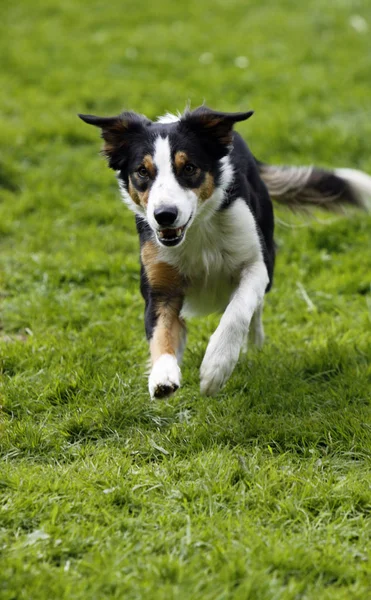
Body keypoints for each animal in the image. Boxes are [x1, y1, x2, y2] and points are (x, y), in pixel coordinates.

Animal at [79, 108, 371, 398]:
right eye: (142, 171)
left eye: (189, 168)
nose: (164, 215)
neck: (197, 229)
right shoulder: (160, 285)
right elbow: (160, 331)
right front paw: (162, 376)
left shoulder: (256, 263)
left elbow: (238, 310)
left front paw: (216, 367)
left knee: (255, 308)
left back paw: (254, 345)